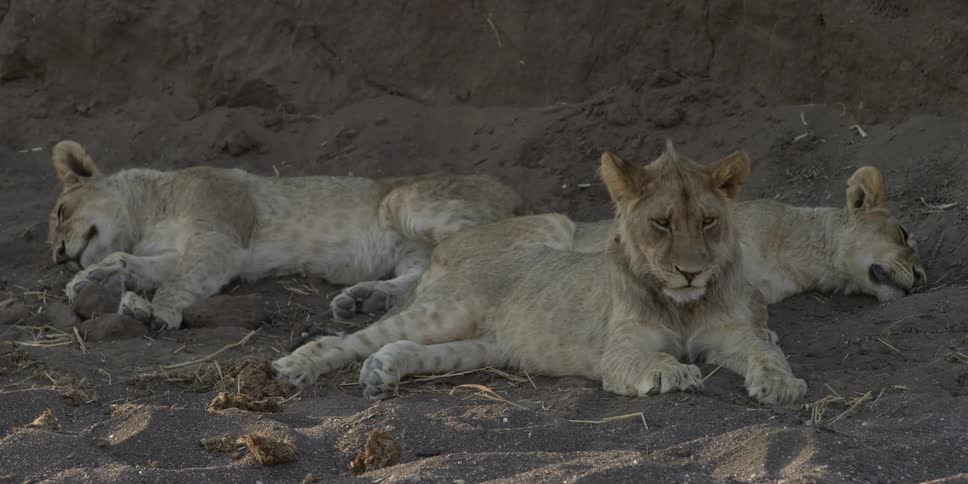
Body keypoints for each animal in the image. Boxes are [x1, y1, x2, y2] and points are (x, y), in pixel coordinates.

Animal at [47, 140, 521, 329]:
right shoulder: (190, 250)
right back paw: (365, 298)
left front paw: (154, 312)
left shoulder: (219, 236)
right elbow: (144, 265)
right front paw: (93, 279)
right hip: (412, 248)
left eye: (61, 211)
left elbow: (177, 282)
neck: (148, 213)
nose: (58, 255)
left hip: (405, 201)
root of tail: (507, 189)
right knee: (427, 272)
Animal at [272, 141, 808, 405]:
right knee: (347, 338)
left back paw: (383, 372)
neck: (682, 307)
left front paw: (781, 383)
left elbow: (764, 351)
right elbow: (645, 360)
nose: (691, 272)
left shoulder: (730, 335)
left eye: (709, 221)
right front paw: (671, 372)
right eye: (661, 224)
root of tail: (446, 255)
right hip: (445, 312)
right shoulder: (619, 350)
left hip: (484, 346)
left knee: (404, 346)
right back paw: (296, 367)